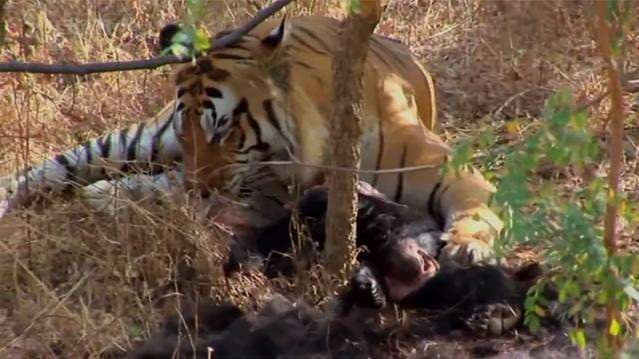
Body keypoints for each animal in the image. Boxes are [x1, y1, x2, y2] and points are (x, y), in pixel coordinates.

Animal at [0, 14, 504, 264]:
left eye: (223, 130)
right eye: (186, 131)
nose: (198, 187)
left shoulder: (444, 166)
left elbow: (478, 207)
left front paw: (468, 246)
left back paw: (111, 195)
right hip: (140, 140)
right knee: (57, 166)